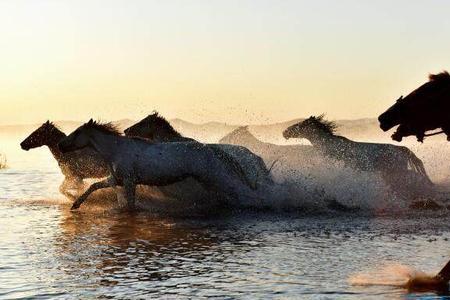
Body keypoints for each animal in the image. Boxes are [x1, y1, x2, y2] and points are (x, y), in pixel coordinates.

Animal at [59, 118, 260, 210]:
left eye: (77, 132)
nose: (61, 145)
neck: (116, 150)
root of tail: (208, 148)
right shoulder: (116, 180)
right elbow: (93, 186)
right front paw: (75, 204)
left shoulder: (130, 182)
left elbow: (130, 205)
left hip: (212, 177)